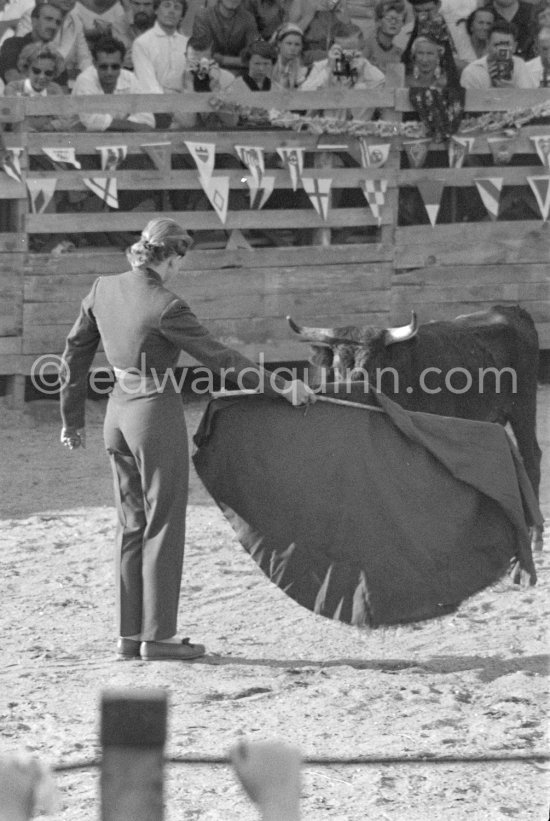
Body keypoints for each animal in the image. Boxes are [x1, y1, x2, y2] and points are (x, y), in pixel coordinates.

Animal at [292, 304, 544, 548]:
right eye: (337, 366)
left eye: (374, 365)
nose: (351, 392)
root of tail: (512, 310)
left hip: (523, 407)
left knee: (532, 456)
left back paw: (535, 534)